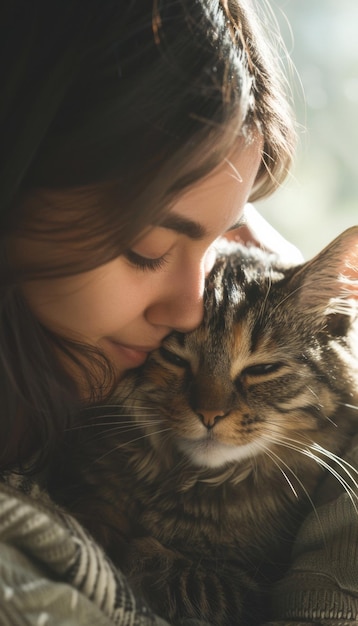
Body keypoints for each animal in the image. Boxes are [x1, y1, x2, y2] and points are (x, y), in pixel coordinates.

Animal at [51, 225, 358, 624]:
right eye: (174, 358)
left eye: (263, 369)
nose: (209, 415)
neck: (185, 483)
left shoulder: (249, 589)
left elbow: (164, 569)